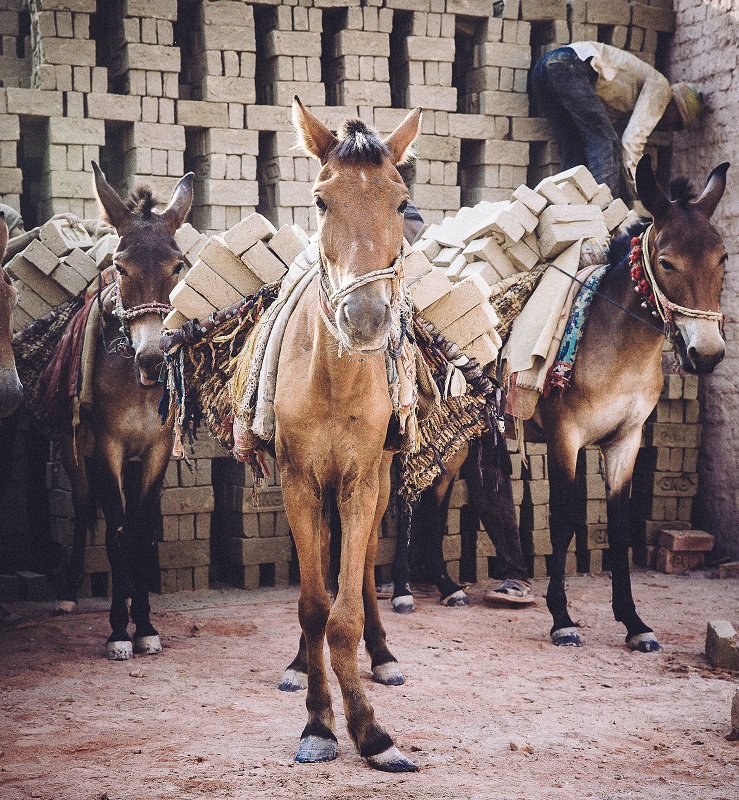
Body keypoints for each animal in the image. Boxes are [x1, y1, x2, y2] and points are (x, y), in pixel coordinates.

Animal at [53, 164, 193, 661]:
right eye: (120, 266)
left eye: (178, 266)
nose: (154, 361)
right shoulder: (107, 447)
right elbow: (116, 531)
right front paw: (118, 631)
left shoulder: (156, 449)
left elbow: (140, 530)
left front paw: (145, 625)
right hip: (73, 448)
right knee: (82, 504)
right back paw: (68, 593)